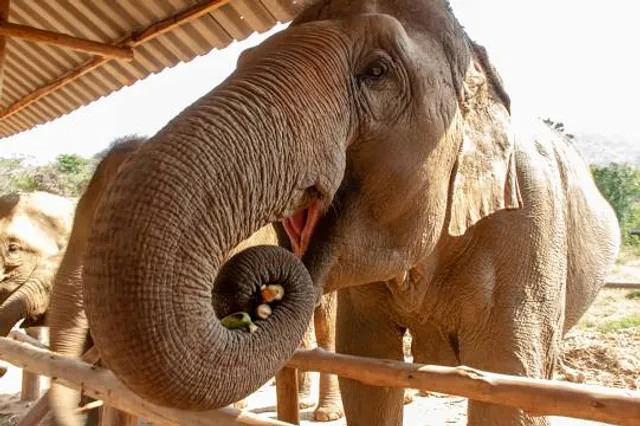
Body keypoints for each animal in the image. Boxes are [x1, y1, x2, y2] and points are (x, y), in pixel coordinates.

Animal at [78, 1, 621, 425]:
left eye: (376, 72)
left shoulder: (529, 226)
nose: (257, 301)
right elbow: (367, 373)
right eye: (245, 57)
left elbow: (509, 382)